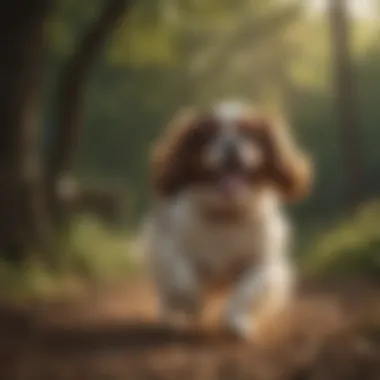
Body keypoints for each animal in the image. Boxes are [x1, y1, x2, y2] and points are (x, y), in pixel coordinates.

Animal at [140, 101, 312, 342]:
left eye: (248, 134)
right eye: (210, 135)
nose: (231, 145)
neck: (226, 213)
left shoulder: (266, 264)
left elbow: (249, 289)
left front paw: (236, 321)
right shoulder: (170, 247)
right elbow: (181, 276)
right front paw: (192, 304)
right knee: (168, 292)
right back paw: (173, 317)